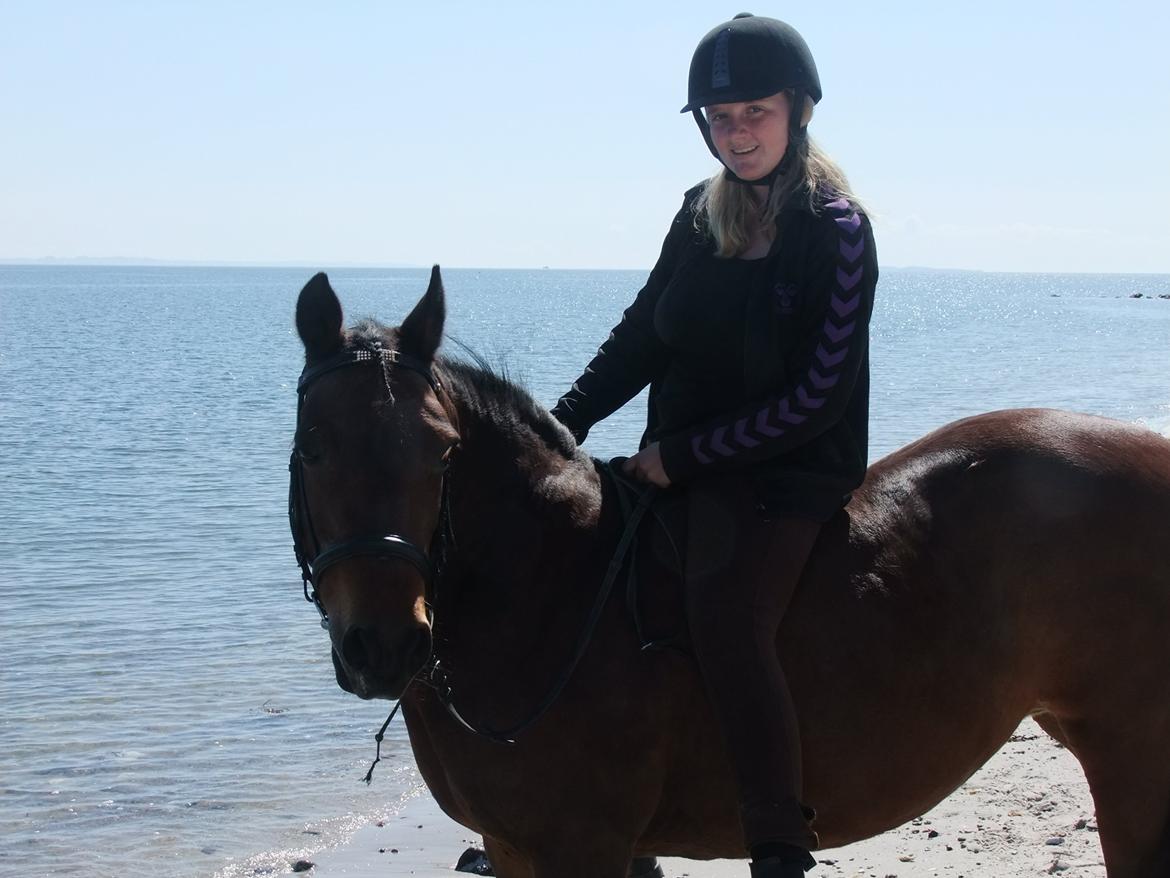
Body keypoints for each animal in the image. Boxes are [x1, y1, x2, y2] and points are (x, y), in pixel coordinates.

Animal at [289, 267, 1170, 878]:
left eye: (441, 455)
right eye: (314, 447)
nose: (385, 647)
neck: (546, 591)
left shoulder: (583, 844)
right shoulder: (513, 847)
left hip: (1132, 756)